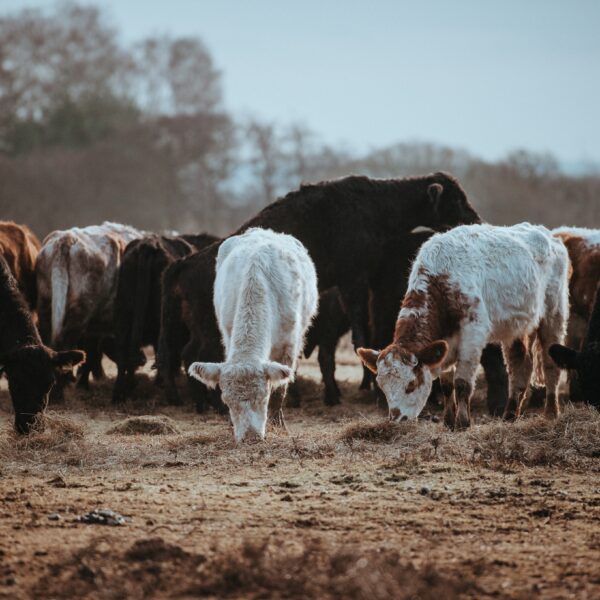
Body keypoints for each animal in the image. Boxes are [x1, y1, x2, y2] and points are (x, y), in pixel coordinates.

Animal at [112, 232, 218, 406]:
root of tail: (149, 244)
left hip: (123, 317)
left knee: (124, 355)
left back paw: (120, 393)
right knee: (167, 354)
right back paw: (175, 397)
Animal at [189, 227, 318, 442]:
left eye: (263, 397)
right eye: (226, 401)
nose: (250, 437)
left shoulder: (289, 345)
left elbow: (280, 390)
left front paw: (278, 425)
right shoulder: (228, 334)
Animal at [358, 224, 568, 426]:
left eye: (411, 384)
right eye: (382, 386)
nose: (397, 419)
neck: (442, 279)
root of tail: (549, 235)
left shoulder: (472, 336)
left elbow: (461, 383)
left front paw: (463, 422)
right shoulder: (445, 342)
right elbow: (446, 385)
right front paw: (449, 421)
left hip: (554, 313)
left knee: (550, 364)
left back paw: (551, 412)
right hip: (517, 327)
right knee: (520, 365)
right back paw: (510, 415)